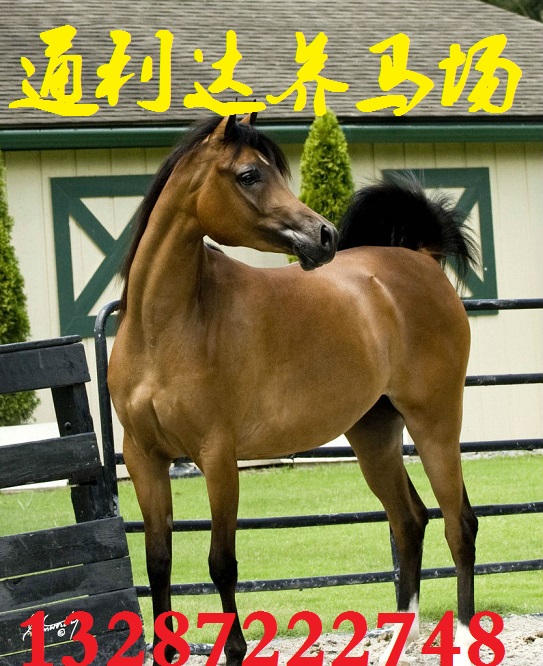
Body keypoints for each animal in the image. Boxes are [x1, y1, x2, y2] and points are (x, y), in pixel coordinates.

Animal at [109, 114, 480, 664]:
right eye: (248, 175)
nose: (324, 235)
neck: (166, 326)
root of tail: (421, 259)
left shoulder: (218, 457)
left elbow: (221, 563)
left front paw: (235, 650)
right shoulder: (144, 458)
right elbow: (157, 561)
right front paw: (166, 651)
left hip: (435, 424)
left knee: (460, 524)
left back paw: (470, 637)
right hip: (374, 435)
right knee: (409, 520)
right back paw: (402, 636)